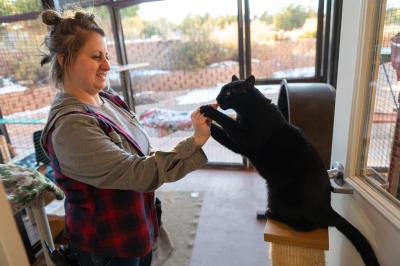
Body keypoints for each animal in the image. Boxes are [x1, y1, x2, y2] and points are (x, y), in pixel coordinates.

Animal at [202, 74, 380, 266]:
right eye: (221, 91)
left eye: (228, 93)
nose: (217, 99)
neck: (250, 111)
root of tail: (328, 209)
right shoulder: (238, 146)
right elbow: (221, 133)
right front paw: (203, 126)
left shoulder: (246, 139)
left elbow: (227, 122)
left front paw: (208, 111)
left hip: (279, 196)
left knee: (308, 225)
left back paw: (271, 214)